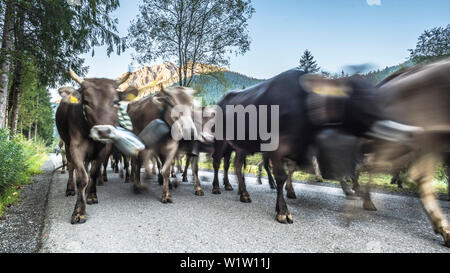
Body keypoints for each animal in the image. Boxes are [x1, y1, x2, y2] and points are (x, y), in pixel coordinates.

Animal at [55, 68, 135, 223]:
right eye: (86, 102)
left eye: (116, 102)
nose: (103, 131)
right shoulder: (76, 147)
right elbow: (82, 177)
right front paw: (79, 211)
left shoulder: (104, 149)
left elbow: (93, 173)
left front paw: (91, 195)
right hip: (66, 144)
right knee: (71, 167)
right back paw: (70, 188)